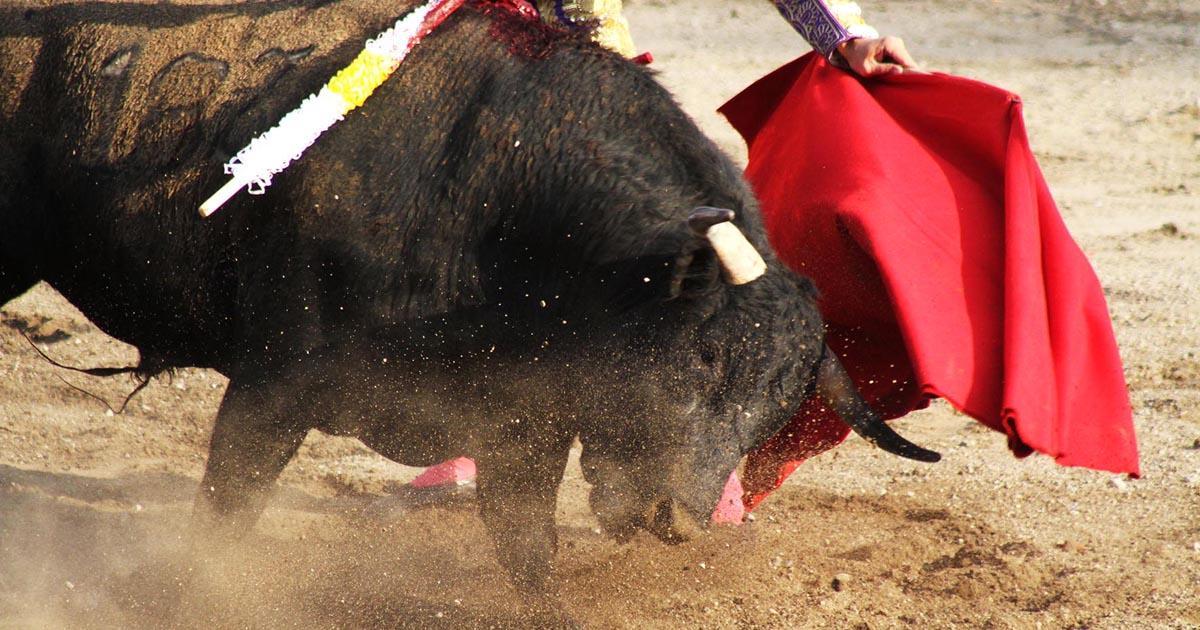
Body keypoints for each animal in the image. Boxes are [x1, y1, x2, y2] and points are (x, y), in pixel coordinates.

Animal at [0, 0, 936, 609]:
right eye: (703, 357)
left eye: (776, 410)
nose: (682, 520)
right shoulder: (275, 383)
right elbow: (227, 511)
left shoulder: (523, 422)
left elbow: (526, 551)